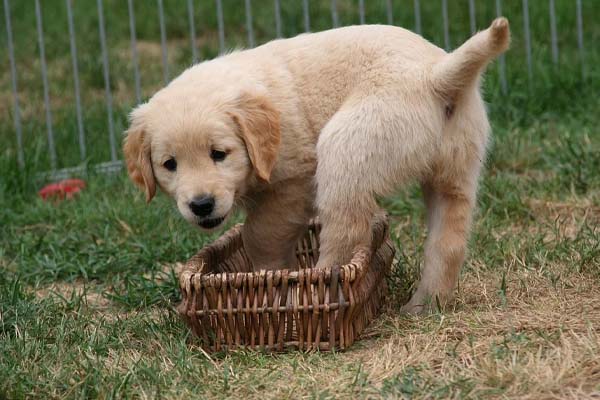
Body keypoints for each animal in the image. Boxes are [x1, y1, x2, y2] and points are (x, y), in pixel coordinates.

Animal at [124, 18, 508, 312]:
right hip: (455, 171)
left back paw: (313, 287)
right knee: (448, 242)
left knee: (345, 230)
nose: (201, 205)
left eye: (219, 153)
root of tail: (435, 76)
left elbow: (259, 233)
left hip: (345, 146)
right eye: (169, 164)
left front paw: (267, 275)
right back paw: (424, 304)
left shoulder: (293, 183)